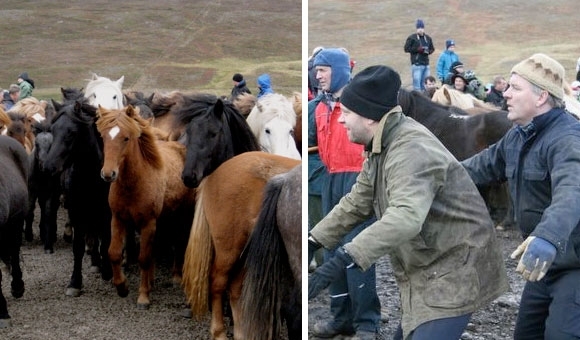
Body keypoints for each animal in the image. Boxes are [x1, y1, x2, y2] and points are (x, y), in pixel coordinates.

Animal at [43, 90, 112, 298]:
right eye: (52, 130)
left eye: (72, 133)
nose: (49, 166)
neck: (89, 175)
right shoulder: (77, 210)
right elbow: (79, 246)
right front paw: (75, 282)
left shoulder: (106, 212)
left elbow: (106, 239)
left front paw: (108, 271)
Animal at [95, 104, 195, 308]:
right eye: (103, 137)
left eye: (126, 138)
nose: (108, 174)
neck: (134, 184)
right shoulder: (118, 219)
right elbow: (114, 253)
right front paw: (122, 287)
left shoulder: (148, 223)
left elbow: (143, 258)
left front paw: (143, 296)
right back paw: (152, 280)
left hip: (182, 215)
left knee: (179, 241)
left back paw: (175, 277)